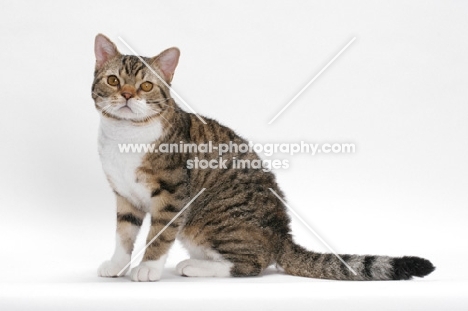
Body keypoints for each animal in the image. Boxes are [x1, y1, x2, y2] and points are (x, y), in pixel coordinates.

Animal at [91, 34, 436, 282]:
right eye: (114, 80)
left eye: (146, 85)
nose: (127, 95)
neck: (124, 136)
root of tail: (283, 235)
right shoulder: (124, 194)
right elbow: (124, 232)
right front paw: (118, 264)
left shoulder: (173, 194)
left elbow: (159, 234)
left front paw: (148, 268)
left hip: (209, 219)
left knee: (251, 263)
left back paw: (195, 266)